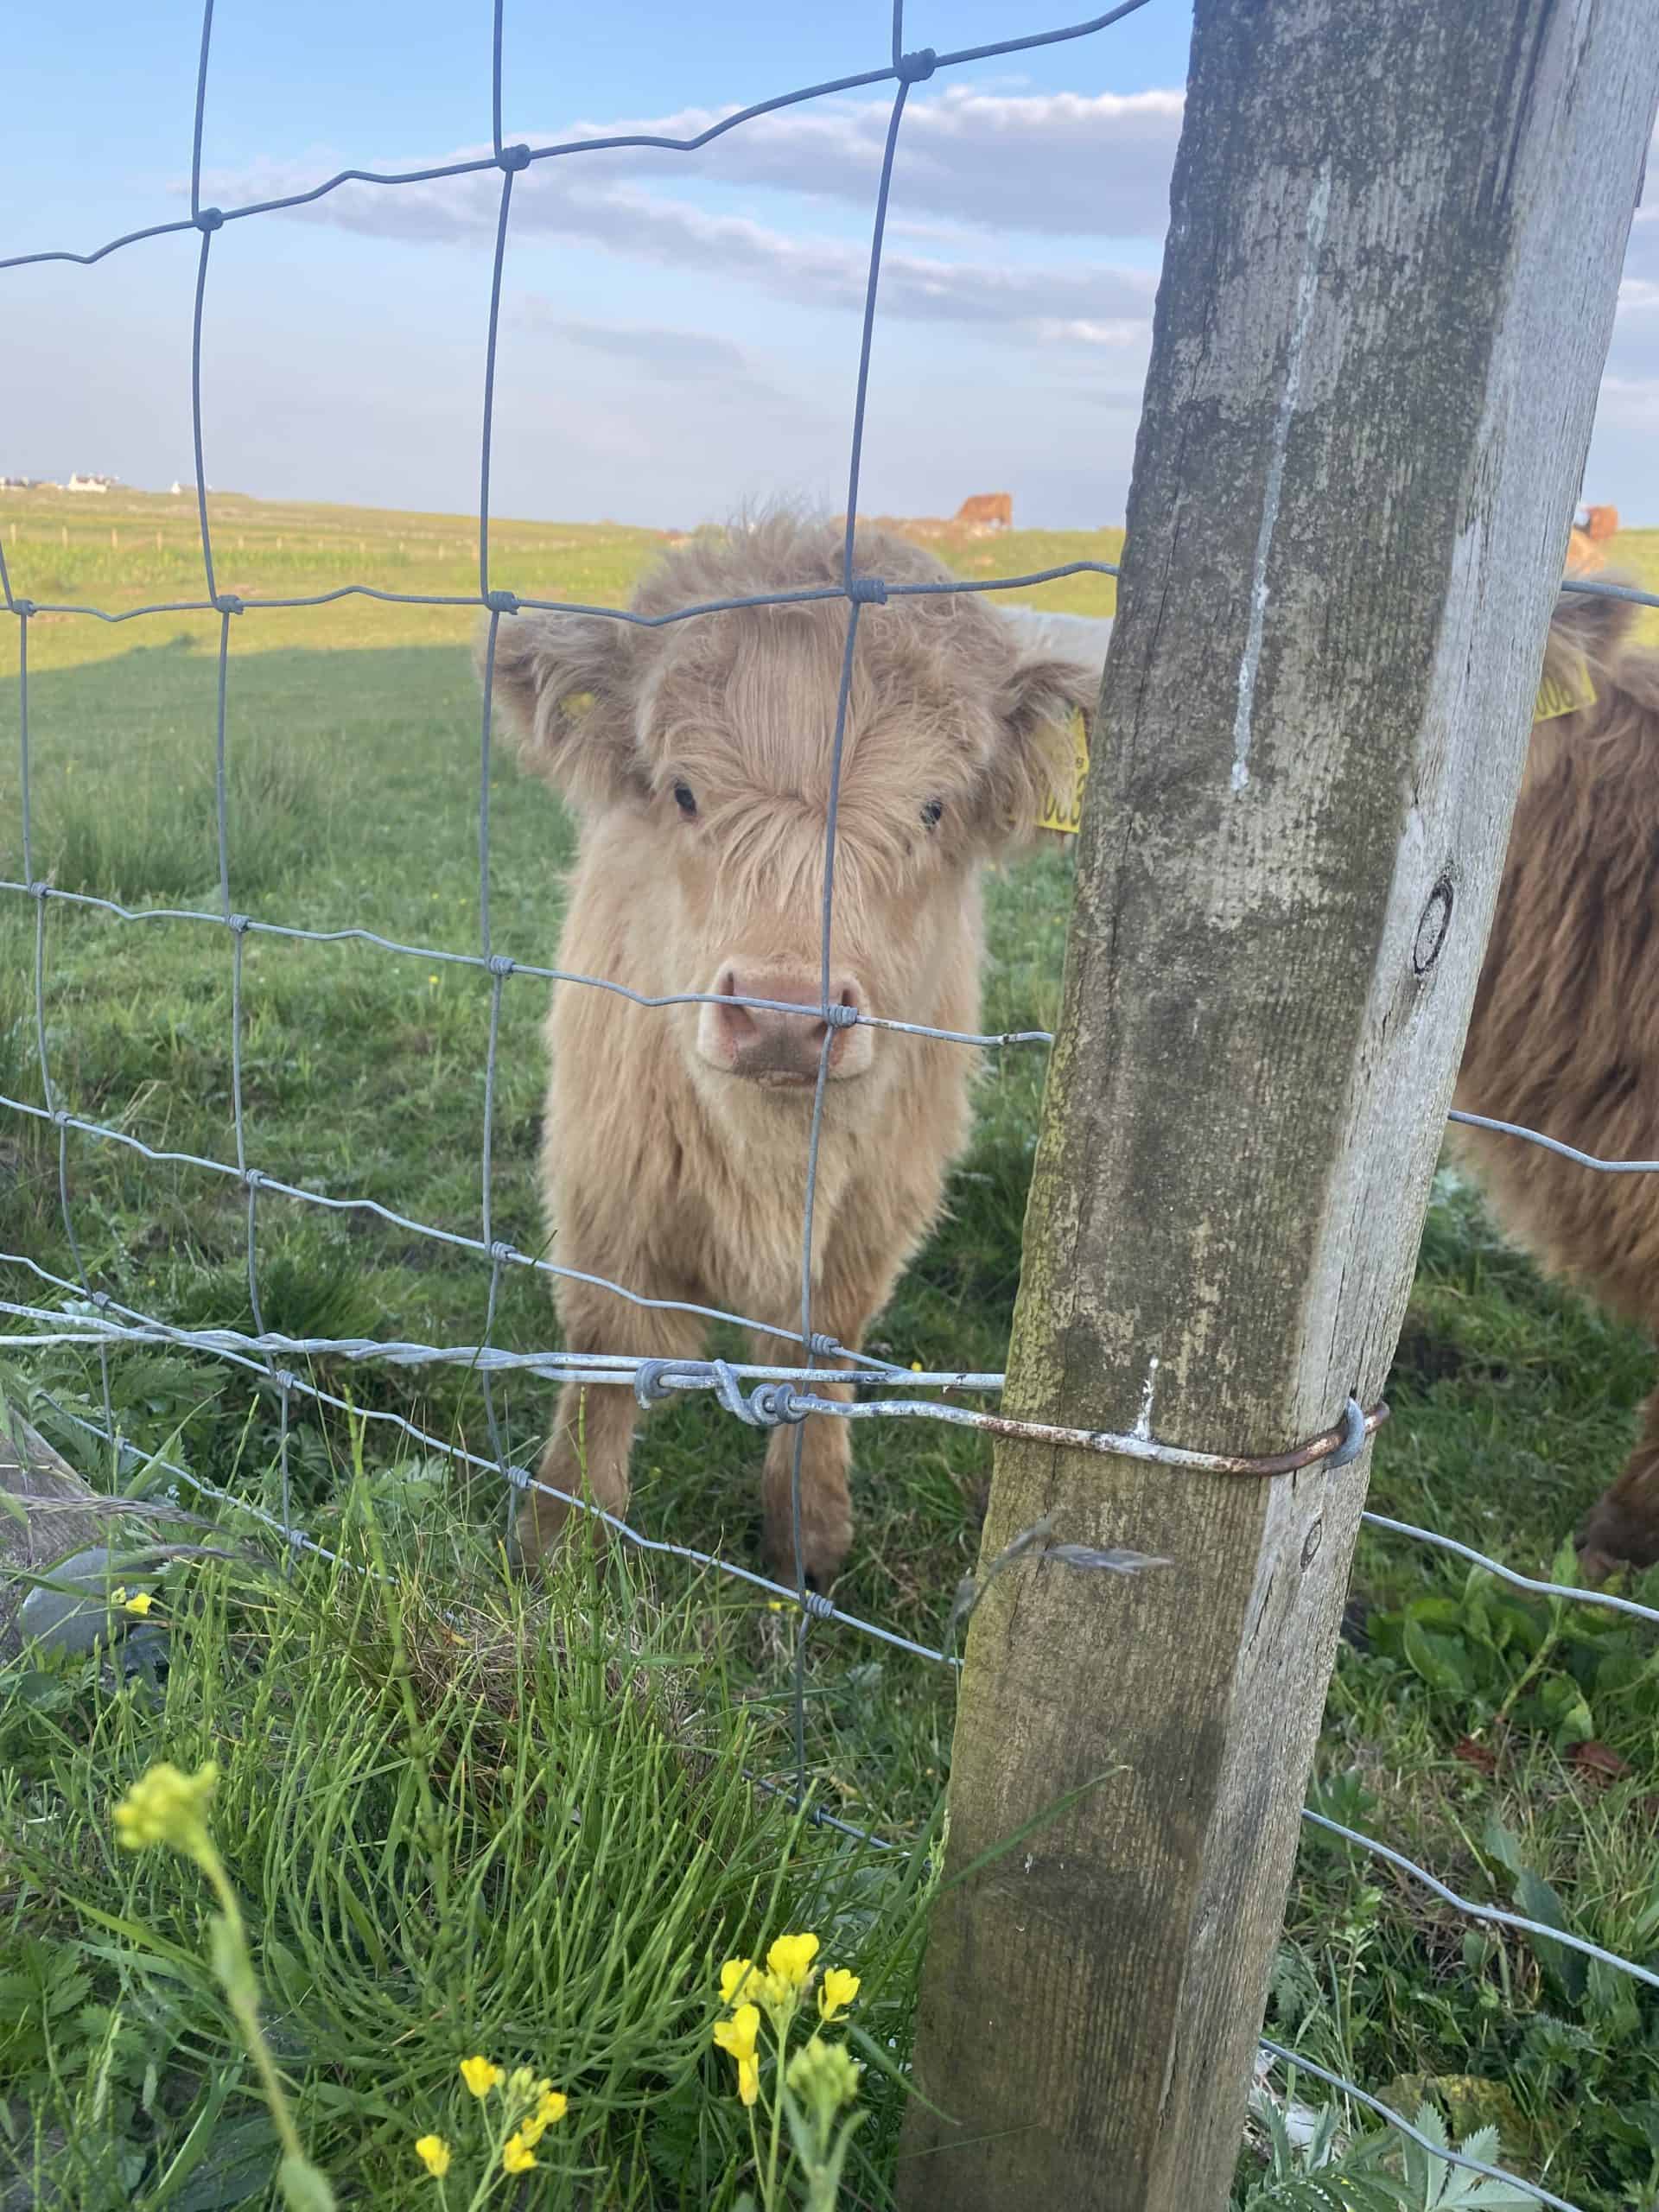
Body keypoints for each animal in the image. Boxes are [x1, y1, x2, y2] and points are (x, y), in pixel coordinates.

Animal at [483, 513, 1098, 1583]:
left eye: (933, 807)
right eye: (685, 793)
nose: (781, 1016)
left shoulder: (871, 1215)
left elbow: (822, 1356)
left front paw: (809, 1533)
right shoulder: (606, 1183)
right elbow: (604, 1352)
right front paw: (562, 1538)